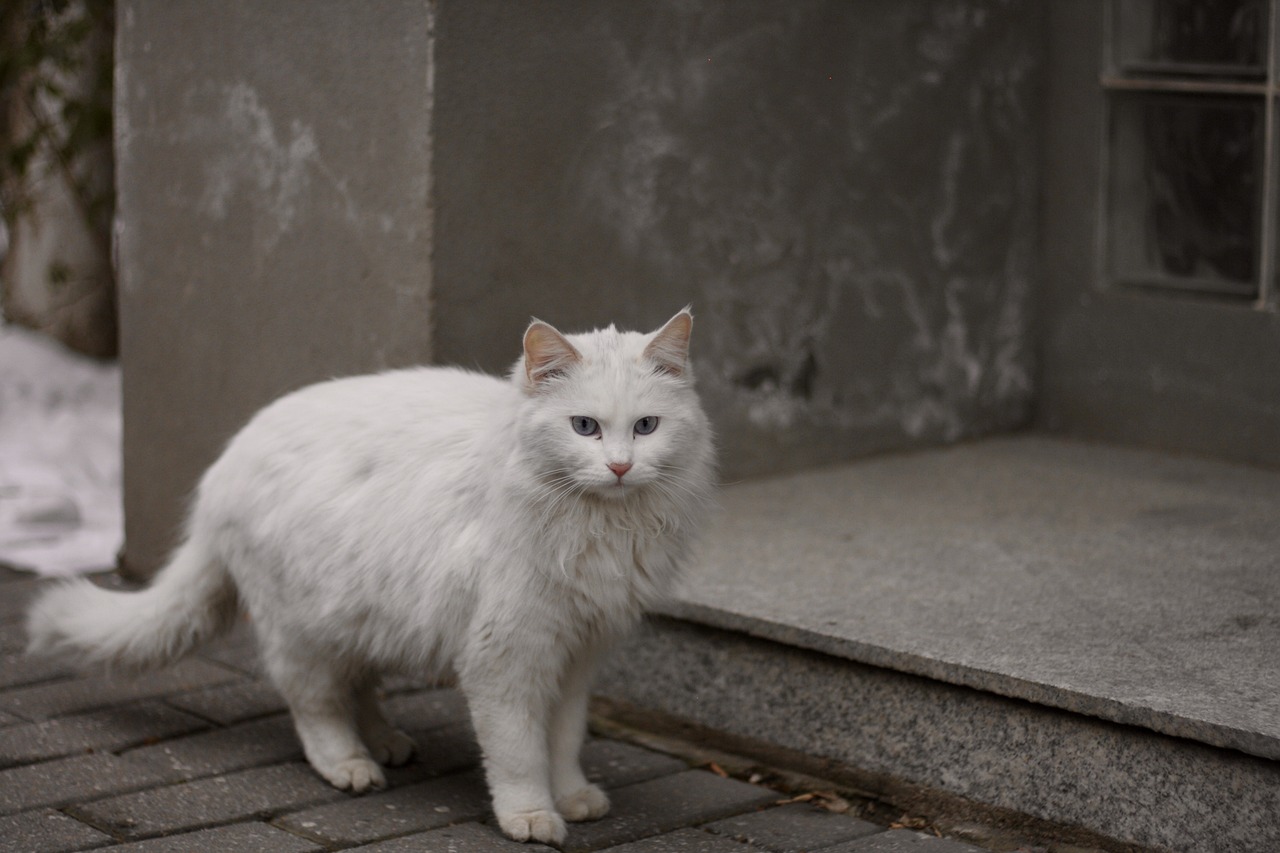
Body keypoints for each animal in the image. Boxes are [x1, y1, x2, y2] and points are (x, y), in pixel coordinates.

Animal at [24, 308, 716, 840]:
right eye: (585, 427)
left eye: (646, 427)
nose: (621, 467)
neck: (602, 527)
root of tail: (223, 468)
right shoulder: (506, 657)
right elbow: (519, 751)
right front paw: (531, 815)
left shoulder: (578, 653)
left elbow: (564, 742)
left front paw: (572, 797)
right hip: (301, 631)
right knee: (315, 706)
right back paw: (351, 763)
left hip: (366, 615)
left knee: (357, 686)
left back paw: (387, 741)